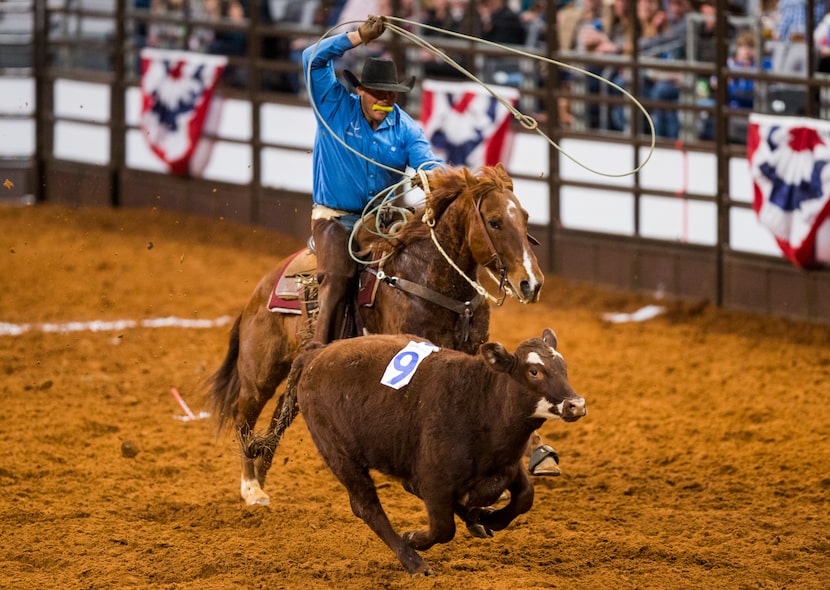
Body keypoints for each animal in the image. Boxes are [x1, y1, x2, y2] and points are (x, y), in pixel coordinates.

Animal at [206, 164, 548, 506]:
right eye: (494, 221)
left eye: (525, 218)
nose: (531, 283)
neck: (427, 275)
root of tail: (257, 294)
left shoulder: (474, 349)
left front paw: (538, 454)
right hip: (260, 373)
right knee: (243, 415)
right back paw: (251, 487)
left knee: (280, 414)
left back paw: (261, 481)